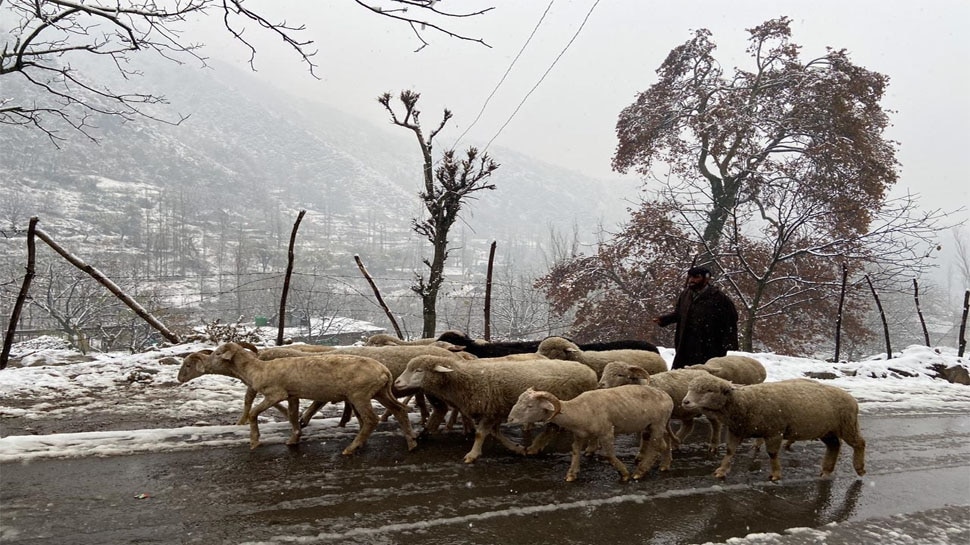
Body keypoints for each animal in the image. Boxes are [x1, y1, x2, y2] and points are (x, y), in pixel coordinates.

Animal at [195, 342, 414, 452]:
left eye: (217, 353)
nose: (204, 363)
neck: (257, 369)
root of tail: (385, 372)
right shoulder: (293, 394)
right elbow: (292, 416)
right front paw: (294, 438)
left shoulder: (276, 393)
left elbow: (254, 413)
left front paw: (255, 442)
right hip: (380, 391)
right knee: (399, 410)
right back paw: (411, 443)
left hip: (360, 393)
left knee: (371, 419)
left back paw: (351, 448)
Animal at [394, 352, 596, 464]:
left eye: (418, 370)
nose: (396, 382)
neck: (465, 379)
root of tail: (590, 371)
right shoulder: (495, 411)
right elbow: (495, 433)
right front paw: (515, 448)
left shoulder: (491, 410)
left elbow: (480, 434)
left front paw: (472, 455)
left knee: (554, 428)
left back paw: (536, 447)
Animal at [506, 382, 672, 480]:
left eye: (530, 406)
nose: (510, 419)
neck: (579, 410)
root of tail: (667, 396)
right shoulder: (579, 435)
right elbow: (575, 451)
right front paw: (572, 474)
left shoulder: (607, 431)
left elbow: (609, 455)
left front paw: (624, 473)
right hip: (652, 425)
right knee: (663, 445)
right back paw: (664, 465)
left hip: (658, 423)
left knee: (655, 446)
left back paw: (640, 471)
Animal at [676, 374, 864, 480]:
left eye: (708, 390)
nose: (685, 402)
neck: (746, 402)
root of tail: (852, 399)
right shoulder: (736, 430)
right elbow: (730, 451)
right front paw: (722, 470)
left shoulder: (775, 431)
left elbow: (772, 454)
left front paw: (775, 474)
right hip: (827, 430)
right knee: (834, 446)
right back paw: (826, 471)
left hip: (847, 424)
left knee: (859, 443)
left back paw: (859, 468)